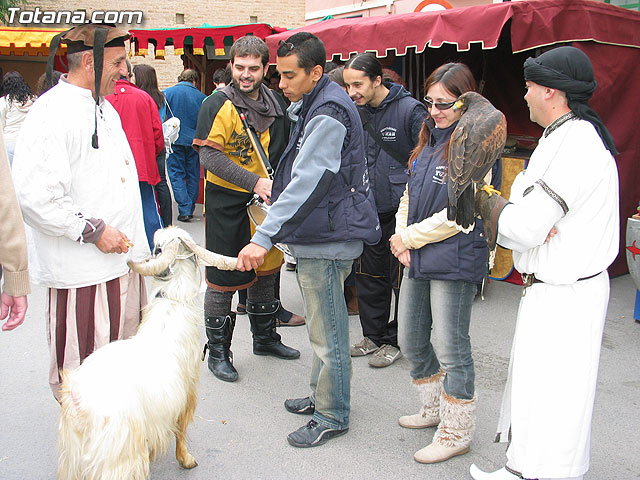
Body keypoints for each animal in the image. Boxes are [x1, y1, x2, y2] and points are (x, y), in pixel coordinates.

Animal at [57, 226, 238, 480]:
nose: (160, 227)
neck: (171, 303)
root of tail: (78, 400)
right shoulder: (186, 393)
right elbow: (180, 430)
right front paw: (186, 460)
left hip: (72, 458)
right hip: (119, 455)